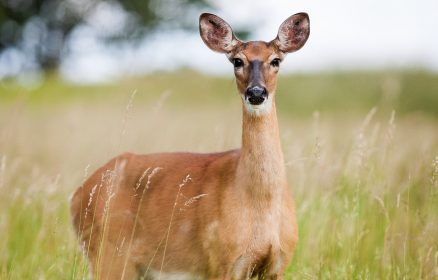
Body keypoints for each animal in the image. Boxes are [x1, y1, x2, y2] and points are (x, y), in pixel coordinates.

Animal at [70, 11, 310, 280]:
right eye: (237, 61)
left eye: (276, 60)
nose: (256, 93)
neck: (260, 202)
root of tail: (76, 195)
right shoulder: (221, 261)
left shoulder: (278, 264)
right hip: (108, 255)